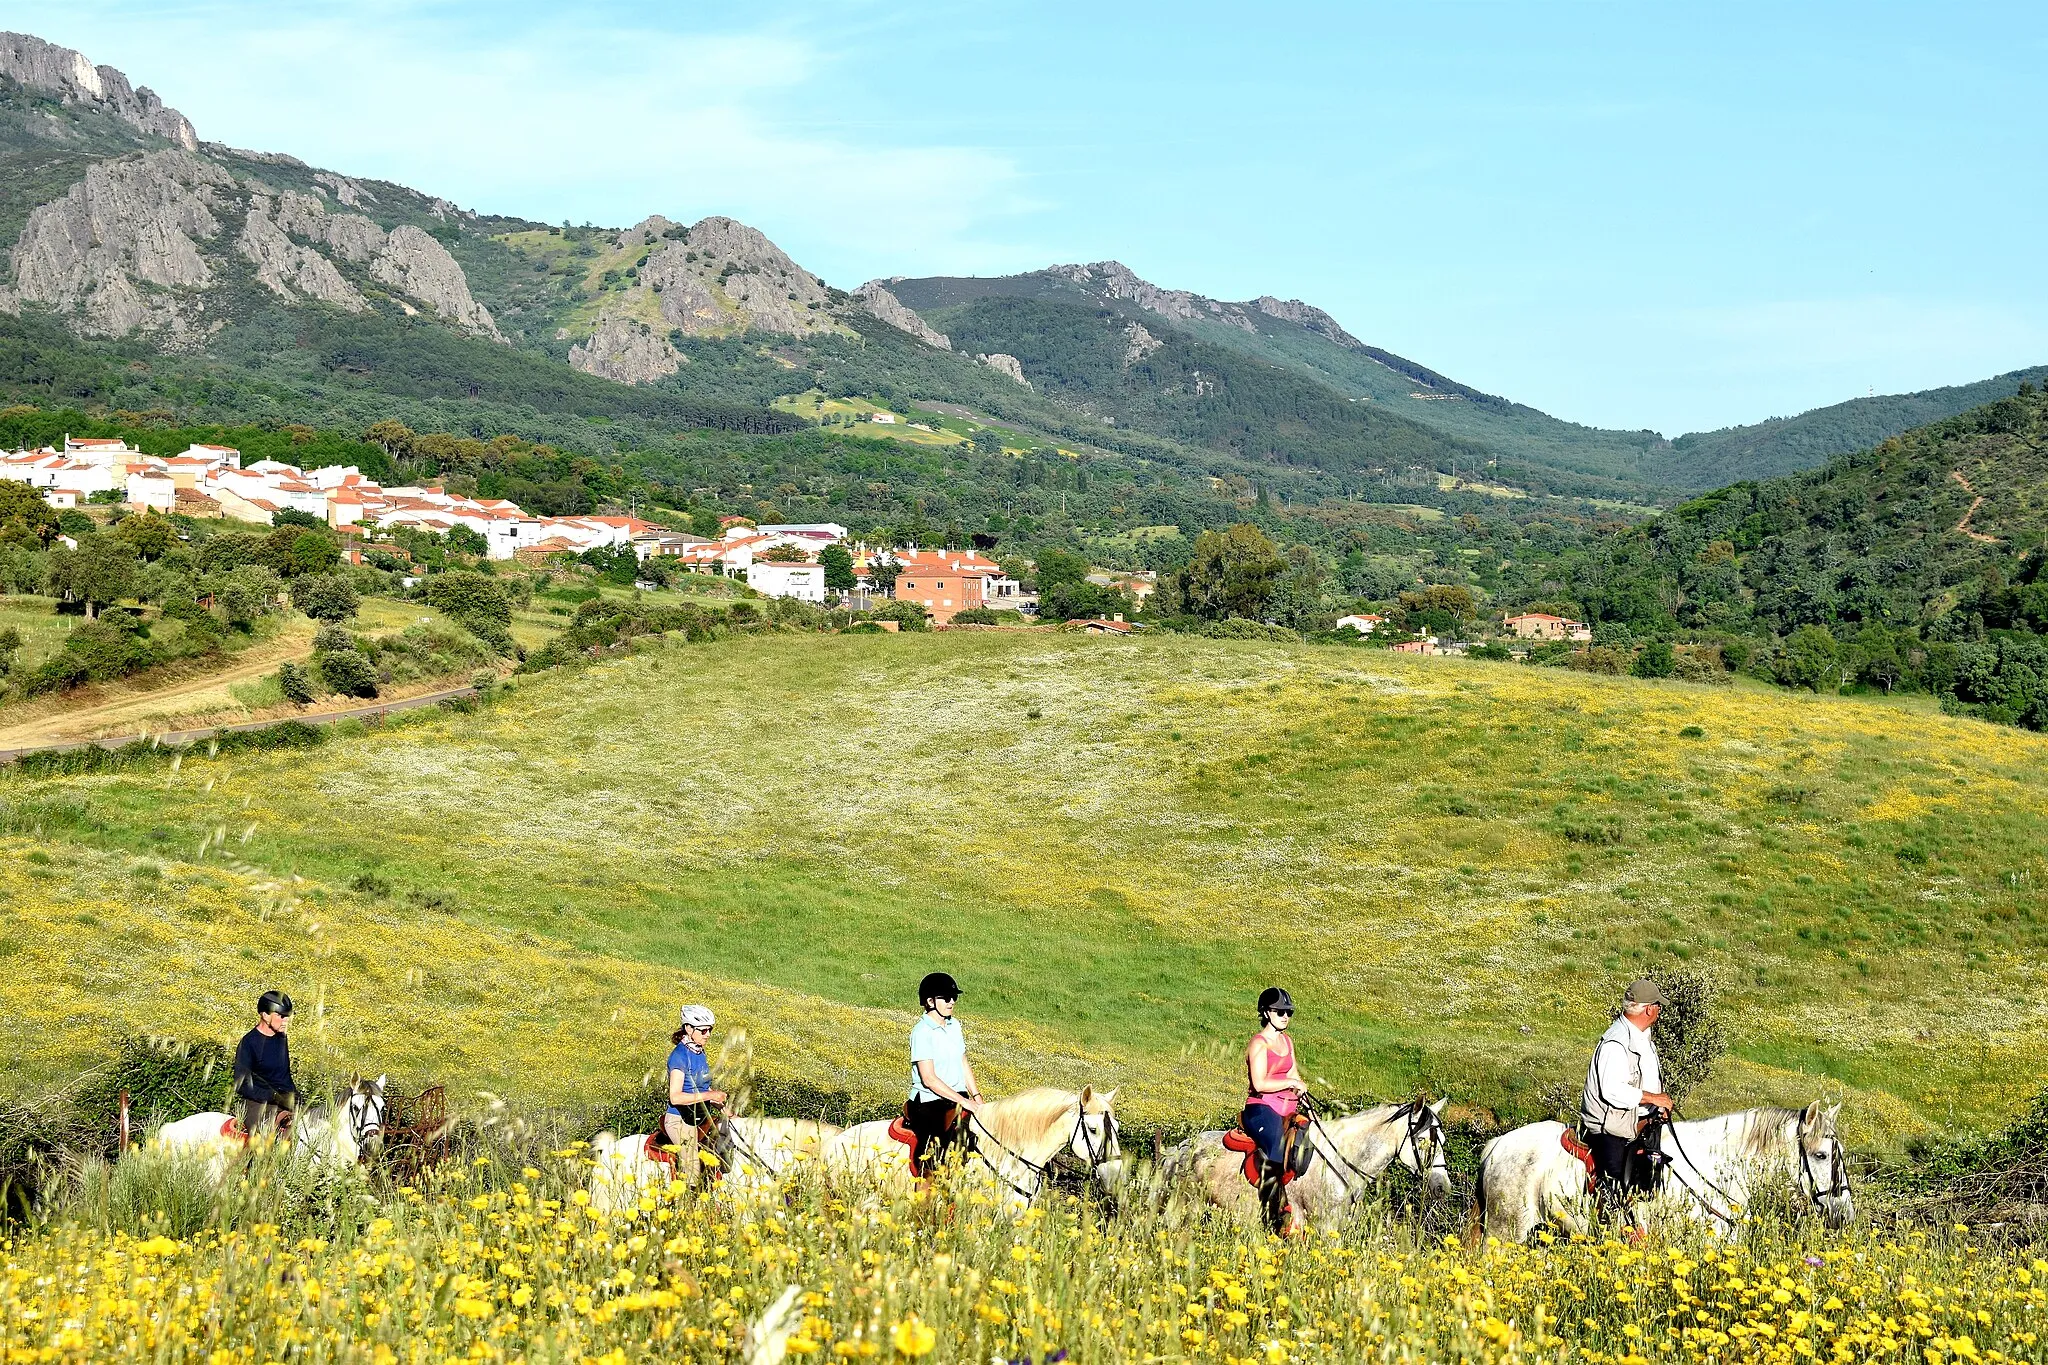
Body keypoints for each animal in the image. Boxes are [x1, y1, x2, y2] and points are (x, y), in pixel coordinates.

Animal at [1171, 1096, 1458, 1236]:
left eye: (1442, 1140)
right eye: (1423, 1140)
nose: (1442, 1187)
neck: (1342, 1160)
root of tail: (1182, 1147)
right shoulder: (1321, 1225)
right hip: (1185, 1206)